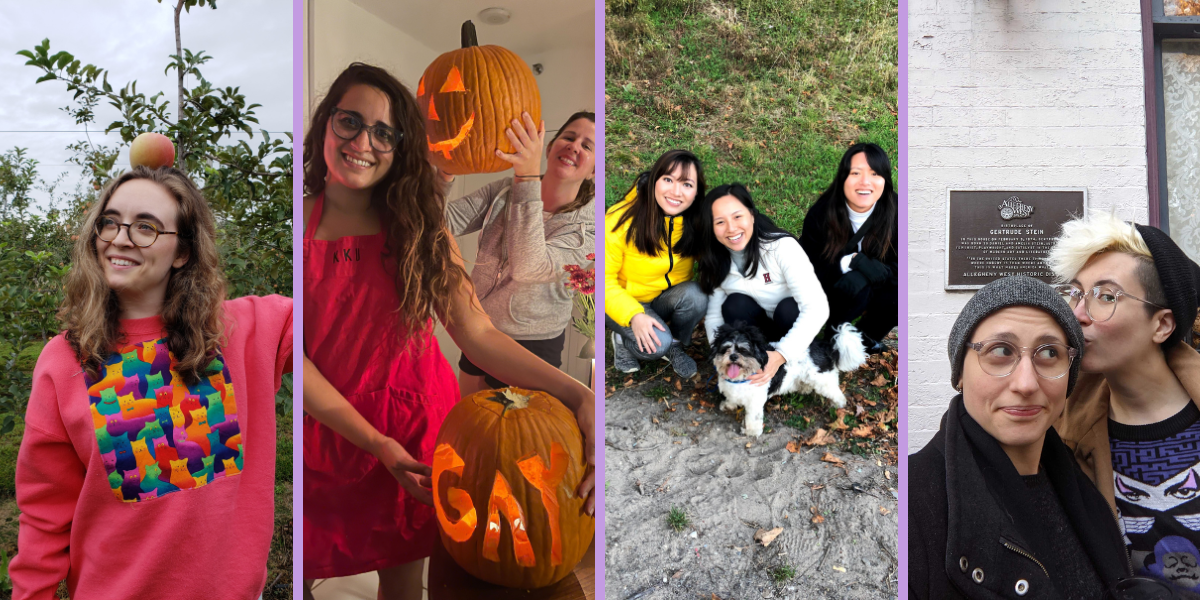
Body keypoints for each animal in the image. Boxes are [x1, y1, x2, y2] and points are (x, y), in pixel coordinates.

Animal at [705, 324, 868, 436]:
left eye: (744, 350)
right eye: (726, 348)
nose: (733, 356)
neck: (741, 378)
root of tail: (825, 346)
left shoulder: (755, 401)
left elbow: (753, 418)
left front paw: (751, 432)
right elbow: (732, 399)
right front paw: (728, 405)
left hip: (823, 381)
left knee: (836, 393)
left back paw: (837, 404)